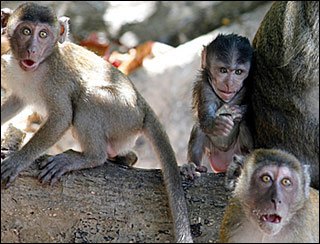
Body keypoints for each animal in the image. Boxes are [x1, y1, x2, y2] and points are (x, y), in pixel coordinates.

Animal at [0, 3, 192, 242]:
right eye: (25, 31)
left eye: (43, 34)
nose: (32, 50)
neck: (37, 68)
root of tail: (142, 105)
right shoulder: (13, 71)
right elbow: (15, 101)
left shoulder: (55, 78)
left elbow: (62, 117)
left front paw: (17, 160)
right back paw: (125, 157)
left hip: (123, 114)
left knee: (87, 99)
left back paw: (91, 157)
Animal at [181, 33, 254, 179]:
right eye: (223, 70)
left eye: (238, 72)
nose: (229, 83)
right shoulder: (205, 88)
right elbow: (205, 118)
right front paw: (218, 124)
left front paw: (240, 111)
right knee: (199, 128)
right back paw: (192, 167)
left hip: (237, 150)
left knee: (244, 123)